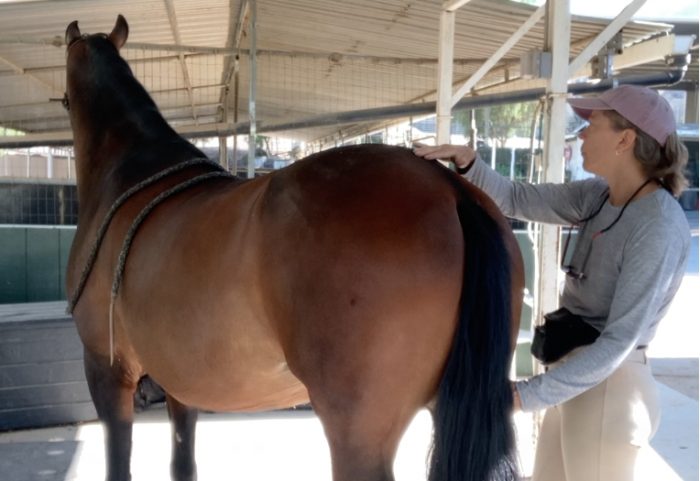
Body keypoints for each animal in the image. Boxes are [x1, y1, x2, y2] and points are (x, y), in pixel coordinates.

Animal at [64, 15, 524, 481]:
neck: (129, 168)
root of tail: (448, 188)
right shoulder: (179, 383)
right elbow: (183, 462)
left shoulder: (107, 369)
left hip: (358, 431)